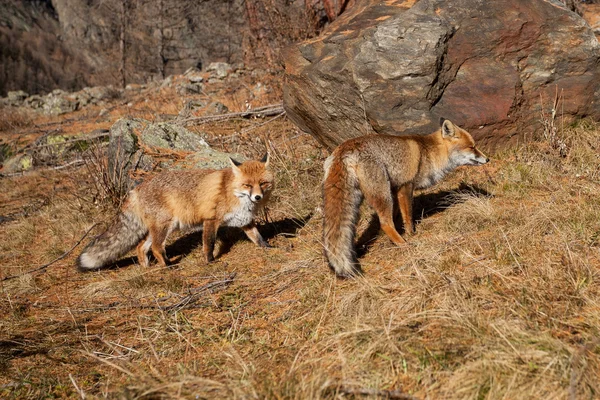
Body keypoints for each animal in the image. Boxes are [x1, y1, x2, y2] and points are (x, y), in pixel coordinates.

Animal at [78, 155, 274, 270]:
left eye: (263, 183)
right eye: (247, 185)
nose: (257, 197)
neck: (233, 193)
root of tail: (137, 189)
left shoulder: (245, 220)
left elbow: (257, 236)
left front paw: (268, 248)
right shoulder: (211, 220)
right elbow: (209, 244)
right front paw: (210, 261)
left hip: (161, 228)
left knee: (141, 247)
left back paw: (147, 268)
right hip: (166, 226)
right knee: (156, 247)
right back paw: (167, 265)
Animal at [324, 117, 488, 276]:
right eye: (472, 147)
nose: (487, 159)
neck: (428, 153)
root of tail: (344, 148)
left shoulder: (395, 189)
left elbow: (398, 214)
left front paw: (401, 229)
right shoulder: (406, 186)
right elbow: (408, 216)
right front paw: (411, 234)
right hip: (383, 195)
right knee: (385, 223)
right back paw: (403, 244)